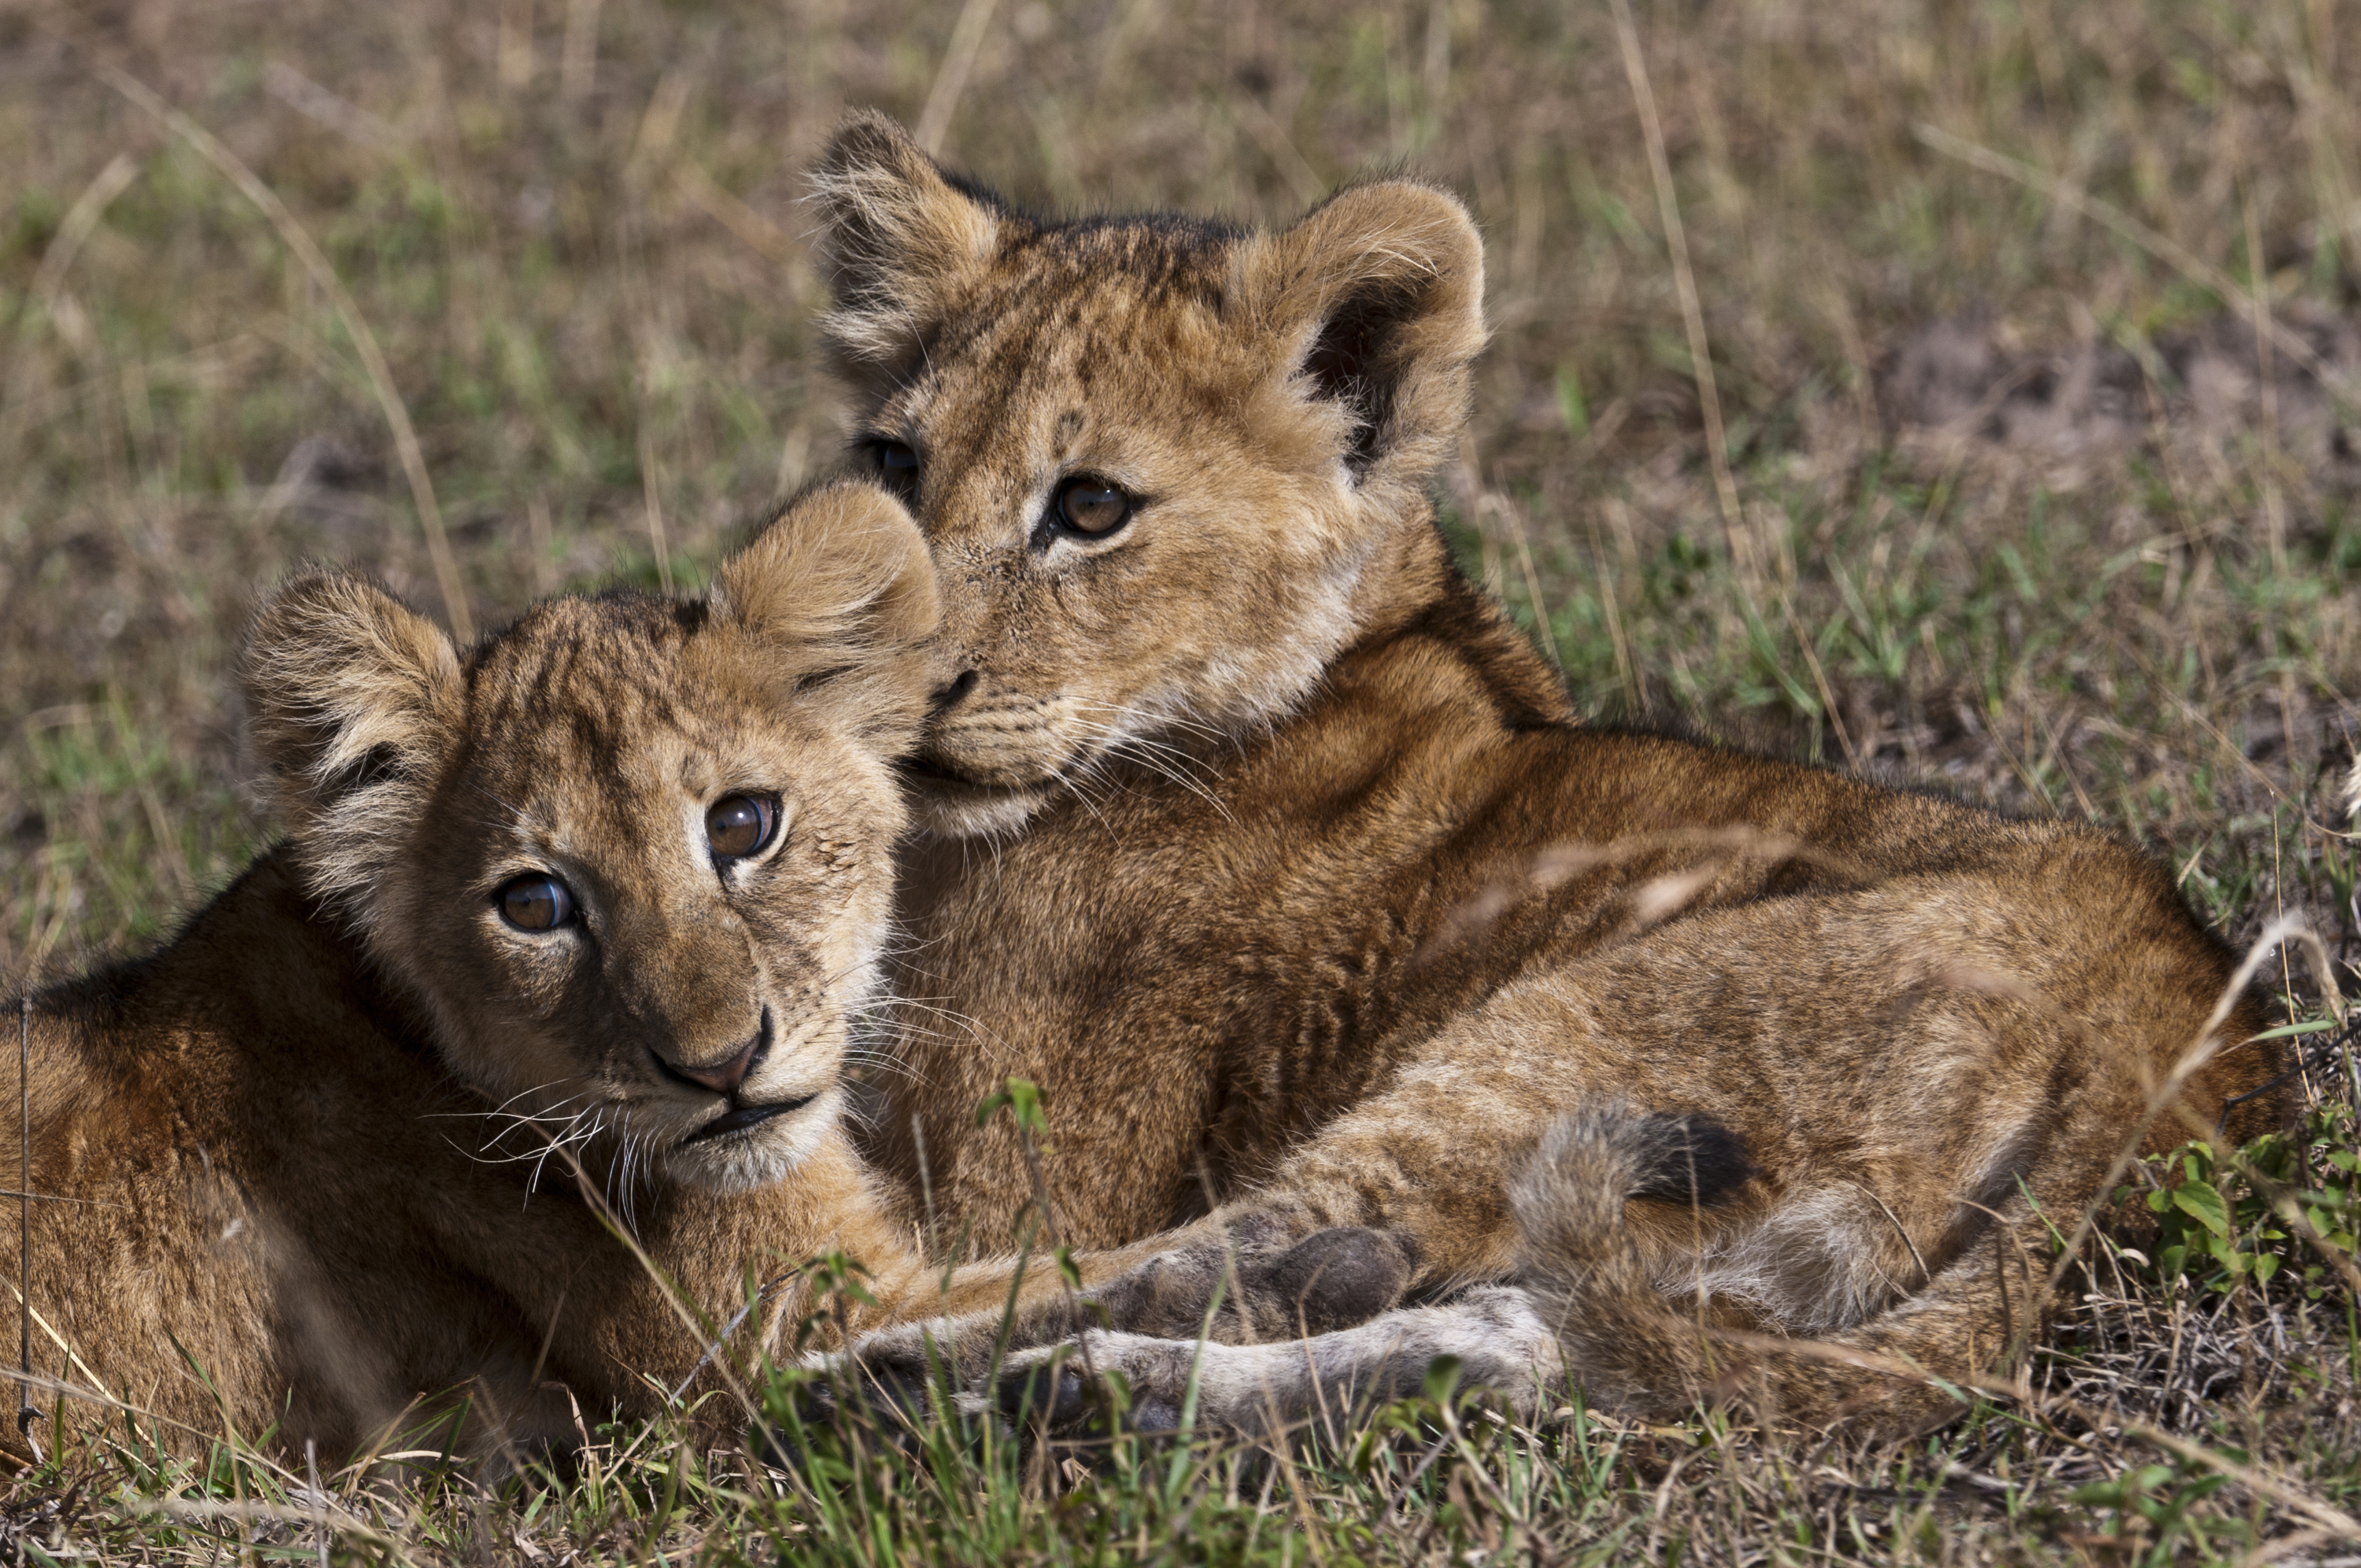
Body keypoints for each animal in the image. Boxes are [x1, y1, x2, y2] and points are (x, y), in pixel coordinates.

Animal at [805, 113, 2294, 1435]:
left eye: (1092, 506)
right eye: (895, 464)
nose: (887, 685)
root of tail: (2181, 1039)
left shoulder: (1016, 1175)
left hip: (1573, 1025)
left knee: (1250, 1249)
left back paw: (903, 1376)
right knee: (1522, 1334)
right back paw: (1104, 1393)